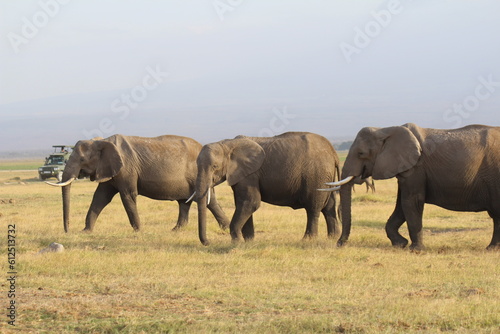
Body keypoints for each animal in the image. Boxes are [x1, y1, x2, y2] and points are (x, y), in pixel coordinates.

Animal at [193, 131, 342, 245]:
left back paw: (307, 240)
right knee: (329, 206)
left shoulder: (250, 175)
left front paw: (237, 242)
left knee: (313, 208)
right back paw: (332, 237)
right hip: (325, 177)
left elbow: (250, 202)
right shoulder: (242, 175)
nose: (208, 243)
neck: (227, 144)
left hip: (316, 175)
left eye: (215, 167)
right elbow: (245, 204)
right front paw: (249, 241)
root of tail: (334, 153)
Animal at [322, 123, 500, 250]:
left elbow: (410, 202)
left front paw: (415, 249)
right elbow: (401, 204)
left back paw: (491, 249)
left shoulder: (416, 168)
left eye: (361, 154)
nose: (339, 244)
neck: (385, 129)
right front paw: (400, 244)